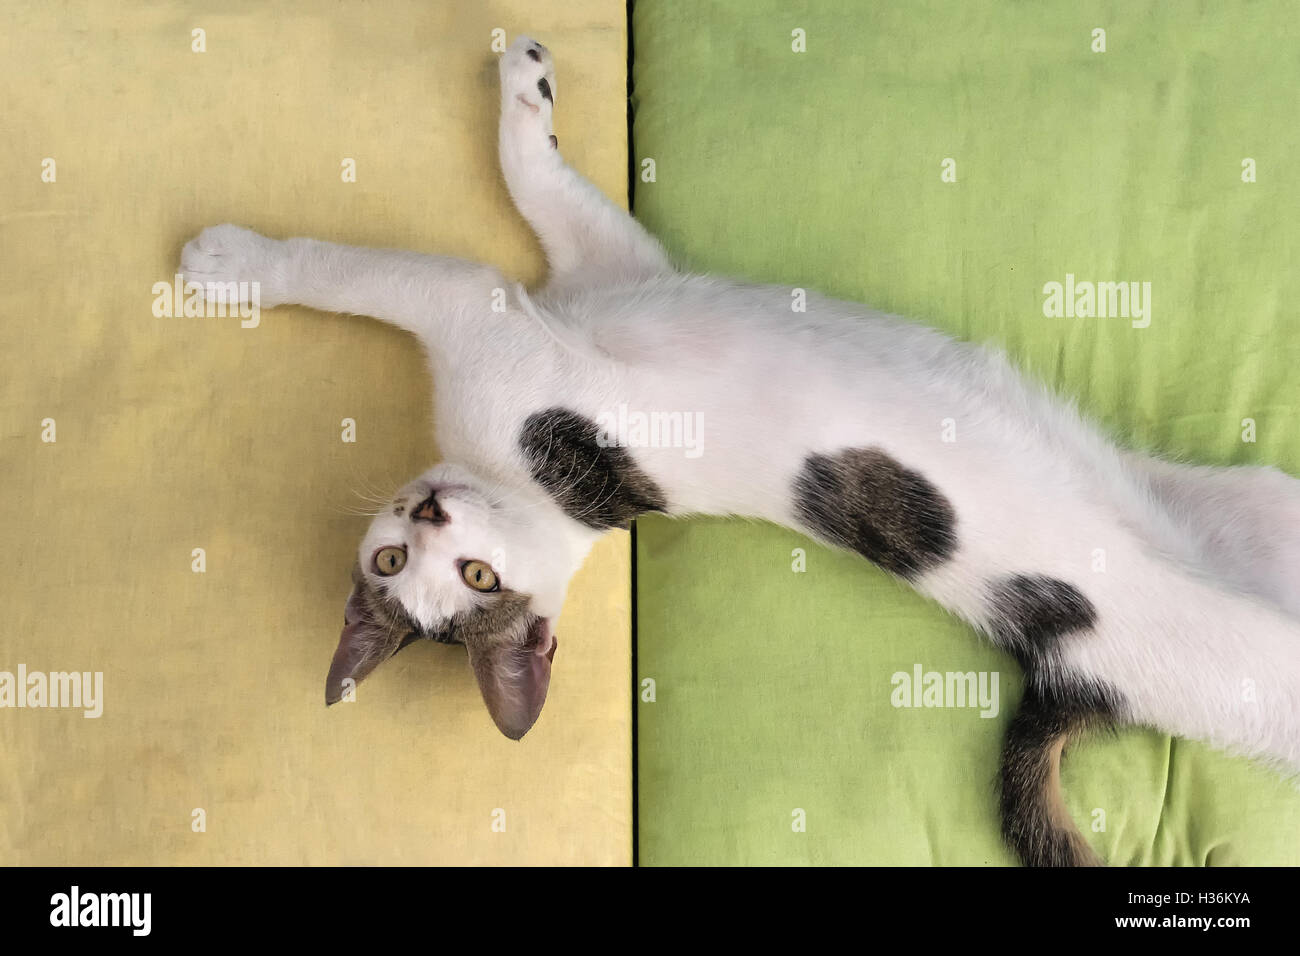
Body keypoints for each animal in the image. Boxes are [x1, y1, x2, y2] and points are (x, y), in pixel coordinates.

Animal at [175, 35, 1300, 868]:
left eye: (471, 574)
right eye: (401, 566)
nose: (428, 513)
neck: (533, 492)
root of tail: (1080, 680)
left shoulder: (598, 275)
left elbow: (503, 200)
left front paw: (523, 94)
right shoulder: (509, 312)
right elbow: (385, 262)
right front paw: (239, 265)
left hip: (1269, 508)